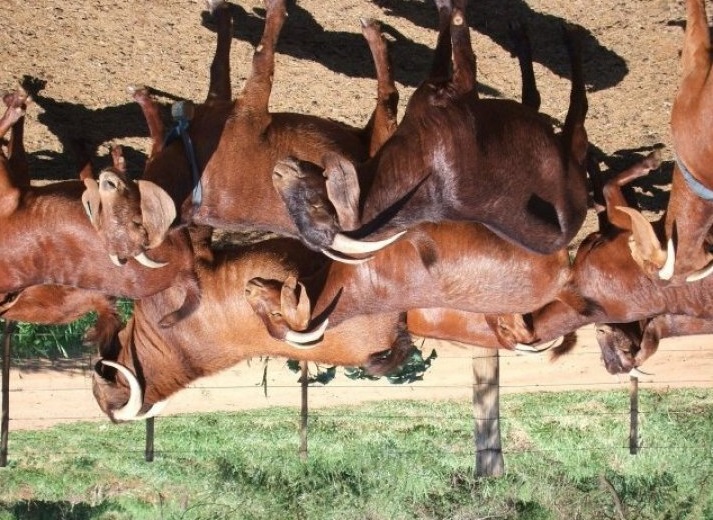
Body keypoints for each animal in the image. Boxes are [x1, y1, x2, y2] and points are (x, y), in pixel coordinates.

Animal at [273, 1, 589, 256]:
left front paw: (376, 32)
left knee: (551, 102)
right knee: (569, 106)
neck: (426, 177)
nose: (278, 170)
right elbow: (459, 39)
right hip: (567, 149)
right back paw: (554, 36)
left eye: (315, 204)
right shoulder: (454, 90)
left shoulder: (437, 91)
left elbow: (447, 37)